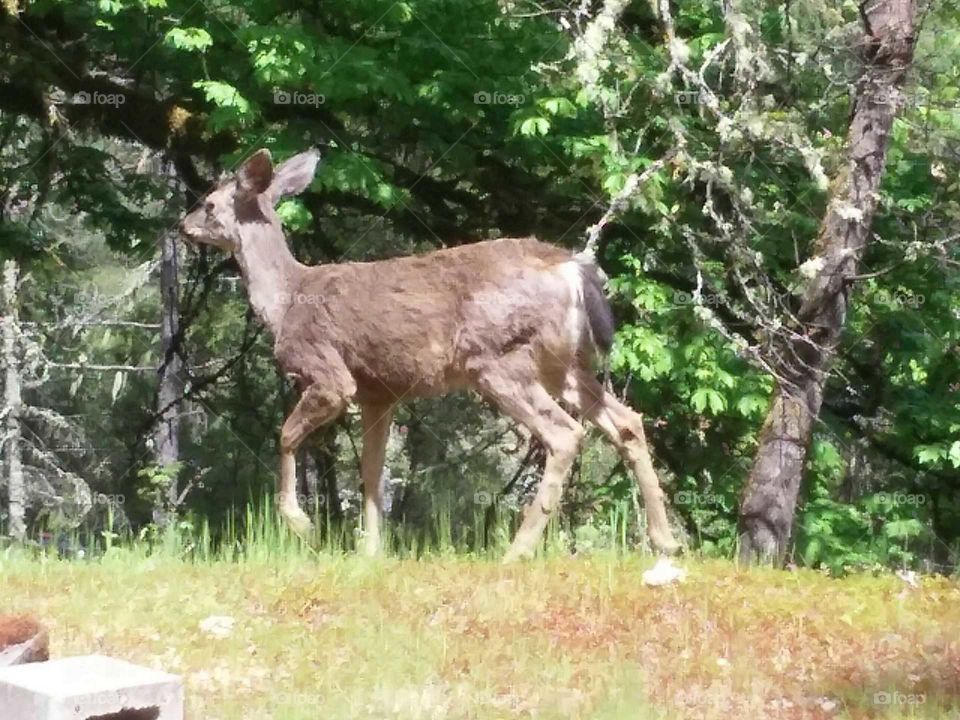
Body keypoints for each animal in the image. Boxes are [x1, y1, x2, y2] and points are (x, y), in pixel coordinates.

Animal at [179, 148, 680, 561]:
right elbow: (371, 470)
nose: (182, 225)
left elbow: (284, 436)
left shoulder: (330, 374)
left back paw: (516, 551)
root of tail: (573, 268)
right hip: (564, 365)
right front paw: (371, 551)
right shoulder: (380, 392)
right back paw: (665, 541)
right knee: (627, 422)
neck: (286, 302)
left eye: (210, 203)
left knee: (565, 433)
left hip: (498, 360)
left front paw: (303, 526)